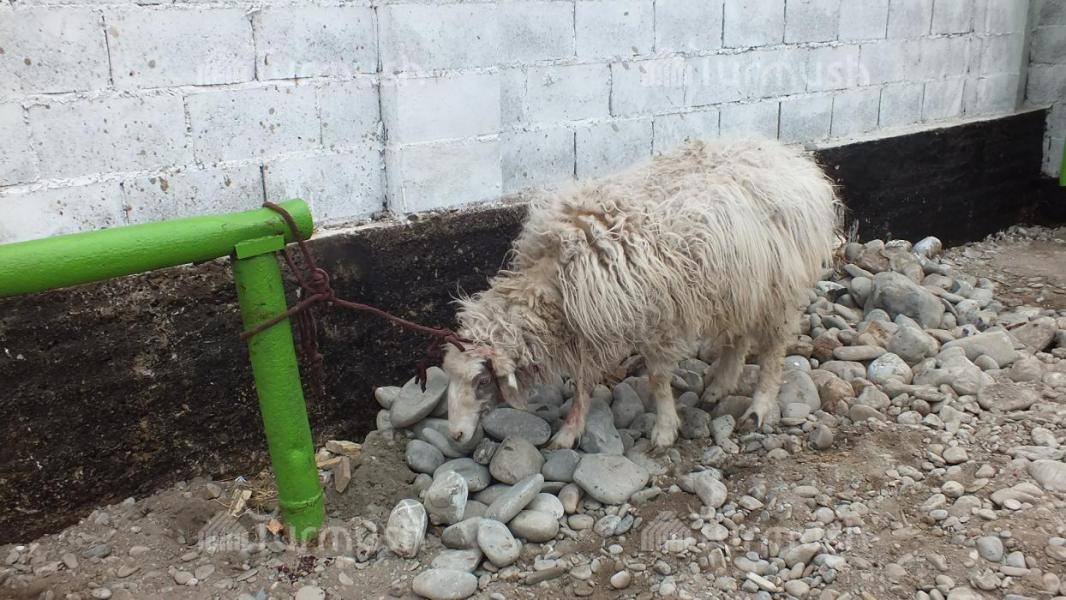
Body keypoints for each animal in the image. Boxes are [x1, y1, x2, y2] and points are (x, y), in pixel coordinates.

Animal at [442, 137, 840, 450]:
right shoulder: (588, 330)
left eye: (481, 381)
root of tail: (787, 155)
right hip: (740, 284)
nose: (455, 436)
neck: (556, 277)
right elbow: (583, 383)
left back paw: (759, 407)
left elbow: (658, 379)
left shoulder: (658, 320)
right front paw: (570, 432)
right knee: (738, 335)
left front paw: (664, 429)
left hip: (780, 287)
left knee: (773, 350)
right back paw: (720, 385)